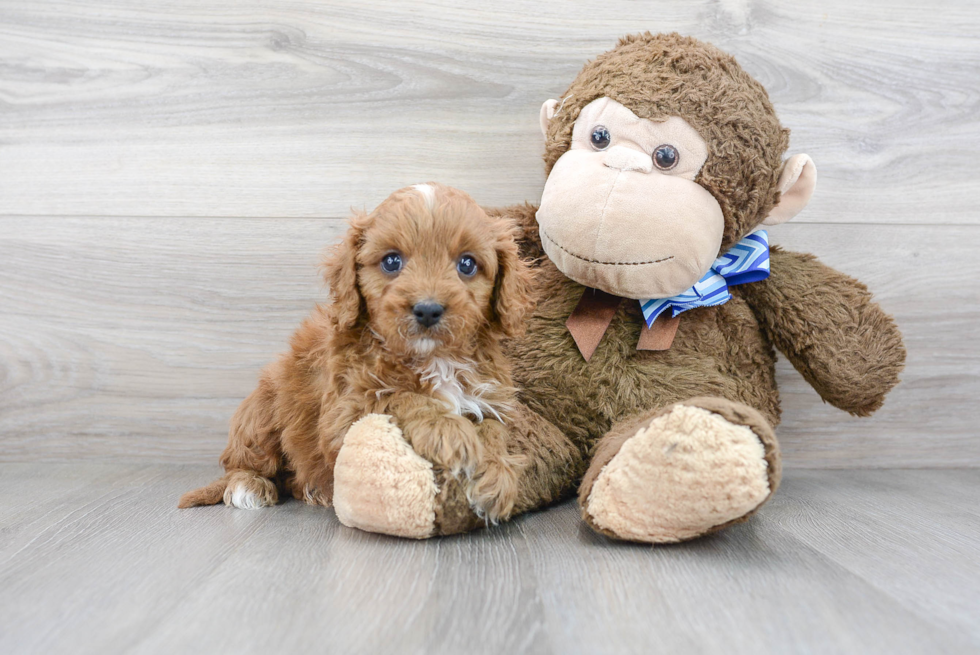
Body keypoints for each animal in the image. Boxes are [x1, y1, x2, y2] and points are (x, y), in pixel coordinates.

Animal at [180, 183, 540, 524]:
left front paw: (494, 473)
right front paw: (449, 432)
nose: (427, 309)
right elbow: (400, 397)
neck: (434, 360)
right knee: (241, 463)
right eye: (391, 261)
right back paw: (249, 485)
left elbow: (494, 432)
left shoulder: (492, 401)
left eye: (467, 264)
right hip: (261, 413)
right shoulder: (343, 416)